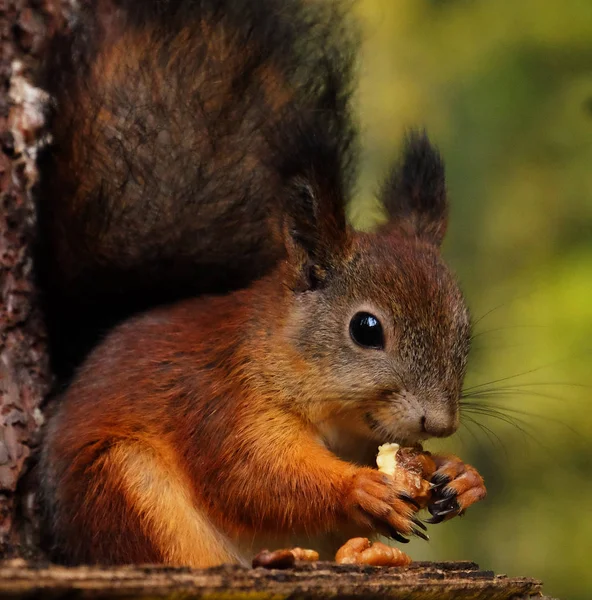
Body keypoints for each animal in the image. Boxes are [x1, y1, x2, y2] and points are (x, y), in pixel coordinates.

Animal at [35, 0, 486, 568]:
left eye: (465, 331)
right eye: (365, 329)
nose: (440, 424)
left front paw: (462, 474)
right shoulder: (222, 400)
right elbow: (253, 475)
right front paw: (358, 489)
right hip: (124, 486)